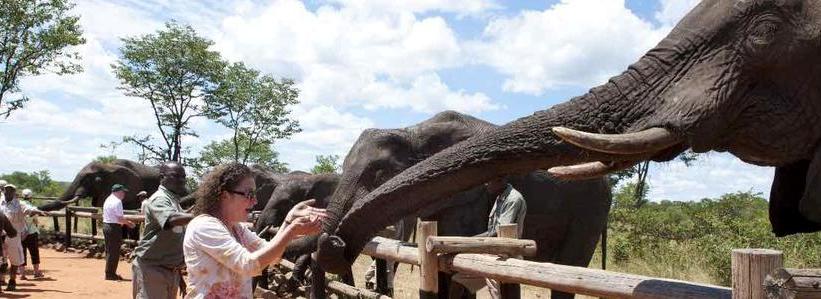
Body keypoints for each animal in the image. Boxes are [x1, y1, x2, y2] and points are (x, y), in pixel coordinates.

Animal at [318, 111, 608, 298]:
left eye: (378, 173)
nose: (335, 242)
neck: (415, 131)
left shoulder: (470, 193)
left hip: (590, 212)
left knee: (569, 271)